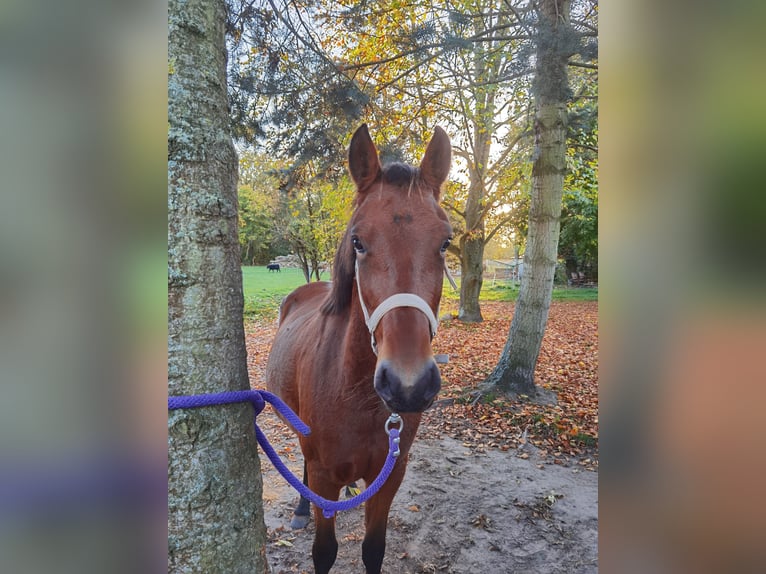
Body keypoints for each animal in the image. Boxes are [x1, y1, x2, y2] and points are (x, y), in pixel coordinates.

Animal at [268, 126, 452, 574]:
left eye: (445, 243)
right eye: (358, 242)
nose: (407, 384)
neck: (355, 395)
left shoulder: (391, 475)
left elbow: (373, 549)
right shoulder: (323, 475)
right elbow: (324, 551)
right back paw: (300, 510)